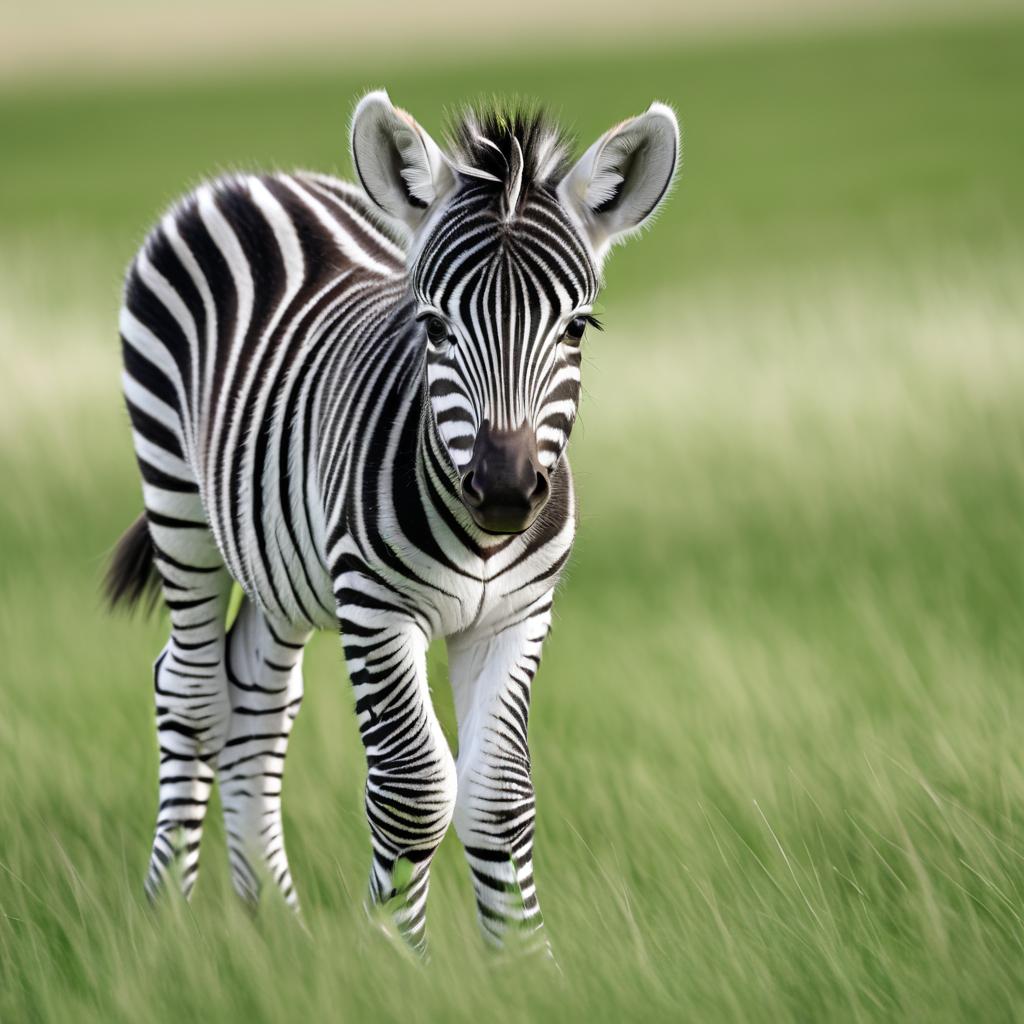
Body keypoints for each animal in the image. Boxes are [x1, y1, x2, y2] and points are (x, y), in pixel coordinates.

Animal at [110, 92, 679, 954]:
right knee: (191, 689)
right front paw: (393, 957)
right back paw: (166, 916)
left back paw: (273, 925)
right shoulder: (377, 609)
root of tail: (250, 179)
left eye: (578, 327)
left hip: (281, 560)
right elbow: (414, 789)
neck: (481, 539)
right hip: (177, 497)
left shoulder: (517, 614)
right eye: (434, 326)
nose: (505, 492)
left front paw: (522, 961)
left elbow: (497, 795)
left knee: (256, 700)